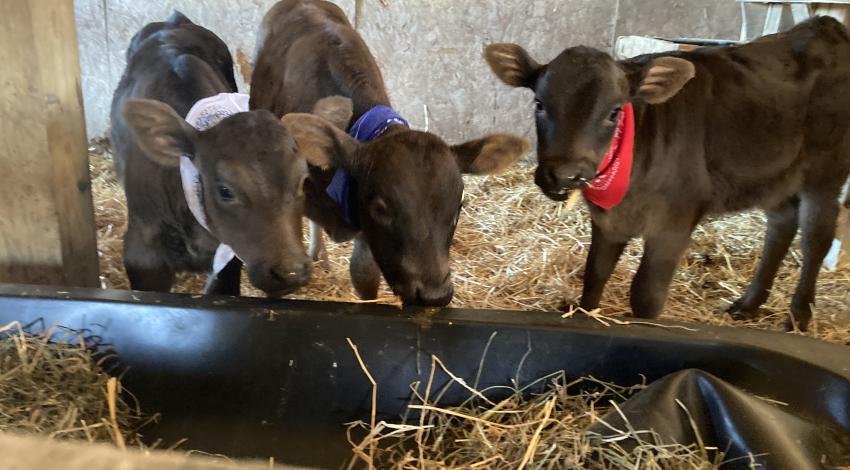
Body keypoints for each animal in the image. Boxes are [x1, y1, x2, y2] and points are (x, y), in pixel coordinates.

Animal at [484, 16, 850, 331]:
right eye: (539, 103)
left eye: (614, 111)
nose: (565, 175)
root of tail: (824, 25)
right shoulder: (608, 220)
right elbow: (594, 275)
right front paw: (585, 314)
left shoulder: (674, 223)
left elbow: (645, 295)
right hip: (775, 176)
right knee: (781, 225)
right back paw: (747, 305)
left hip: (826, 174)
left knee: (816, 238)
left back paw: (798, 318)